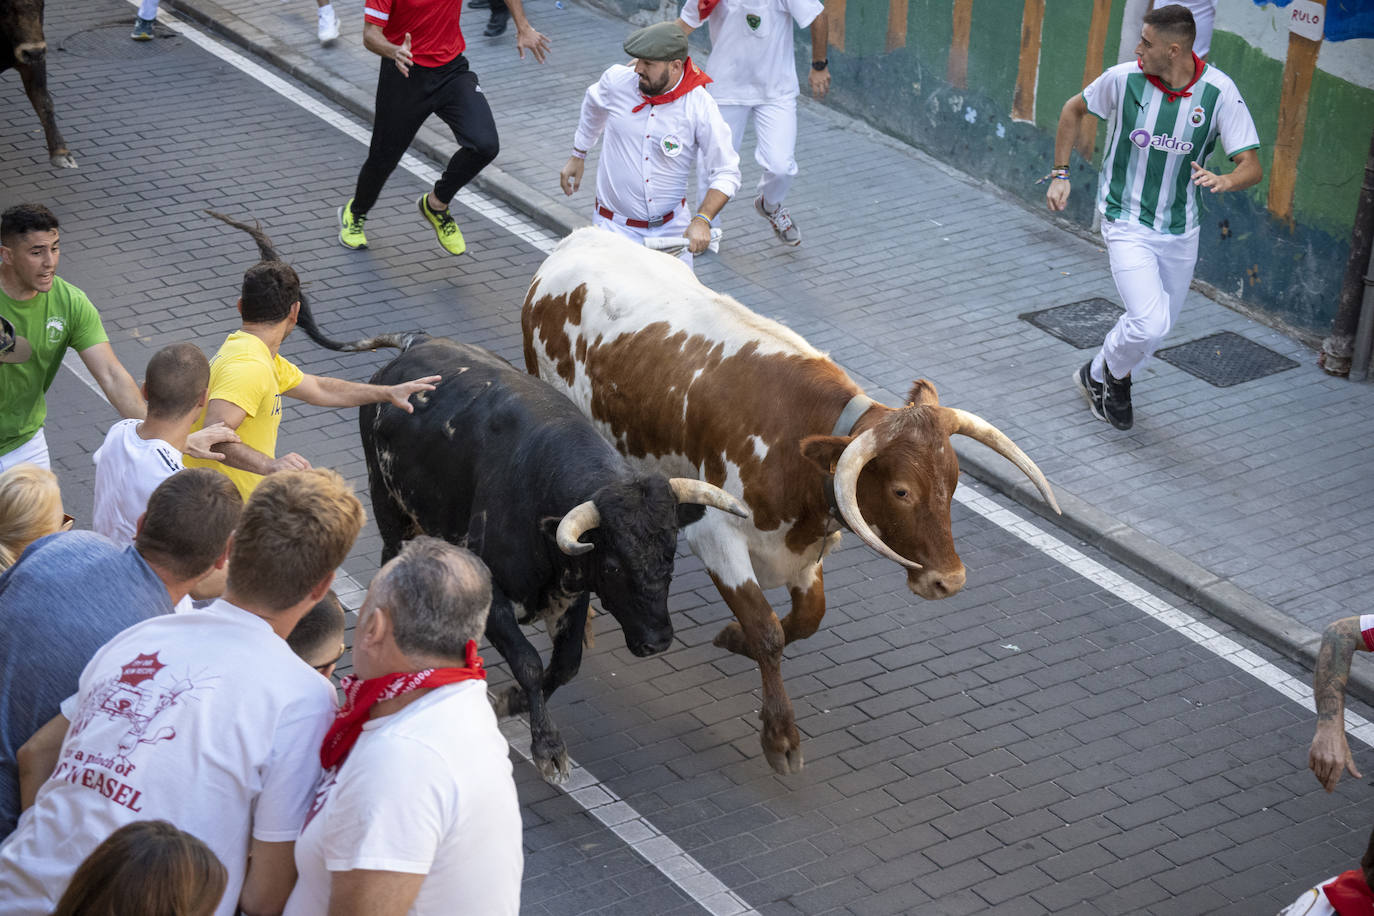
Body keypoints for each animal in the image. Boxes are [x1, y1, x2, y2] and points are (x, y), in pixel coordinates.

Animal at [1, 0, 75, 167]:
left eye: (42, 4)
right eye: (5, 7)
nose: (34, 52)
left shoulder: (34, 64)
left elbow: (43, 101)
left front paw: (61, 153)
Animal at [519, 229, 1055, 774]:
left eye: (954, 481)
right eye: (902, 490)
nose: (949, 581)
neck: (796, 439)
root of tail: (579, 241)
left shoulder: (803, 549)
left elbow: (806, 617)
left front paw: (732, 639)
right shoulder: (714, 536)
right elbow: (767, 631)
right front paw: (779, 737)